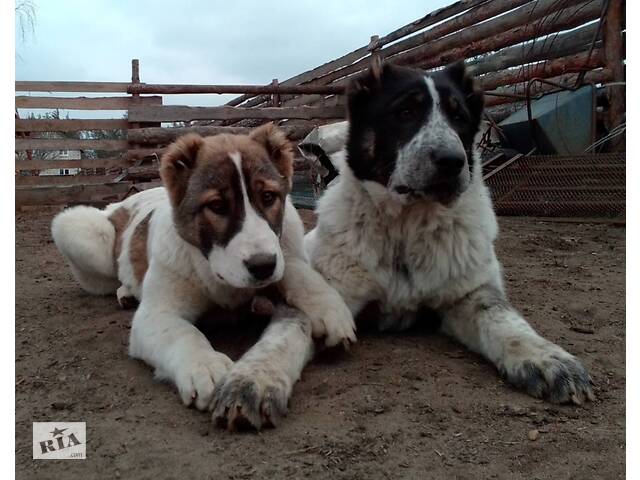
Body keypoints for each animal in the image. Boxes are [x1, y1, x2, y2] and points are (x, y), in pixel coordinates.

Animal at [52, 123, 358, 428]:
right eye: (217, 206)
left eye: (269, 197)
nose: (262, 267)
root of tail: (121, 203)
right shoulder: (155, 315)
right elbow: (182, 333)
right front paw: (206, 366)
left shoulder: (284, 250)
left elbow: (294, 267)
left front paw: (329, 309)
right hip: (74, 226)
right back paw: (126, 291)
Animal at [304, 62, 596, 404]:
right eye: (405, 111)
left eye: (459, 117)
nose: (452, 161)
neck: (406, 226)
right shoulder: (345, 295)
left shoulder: (469, 294)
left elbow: (504, 319)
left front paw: (547, 358)